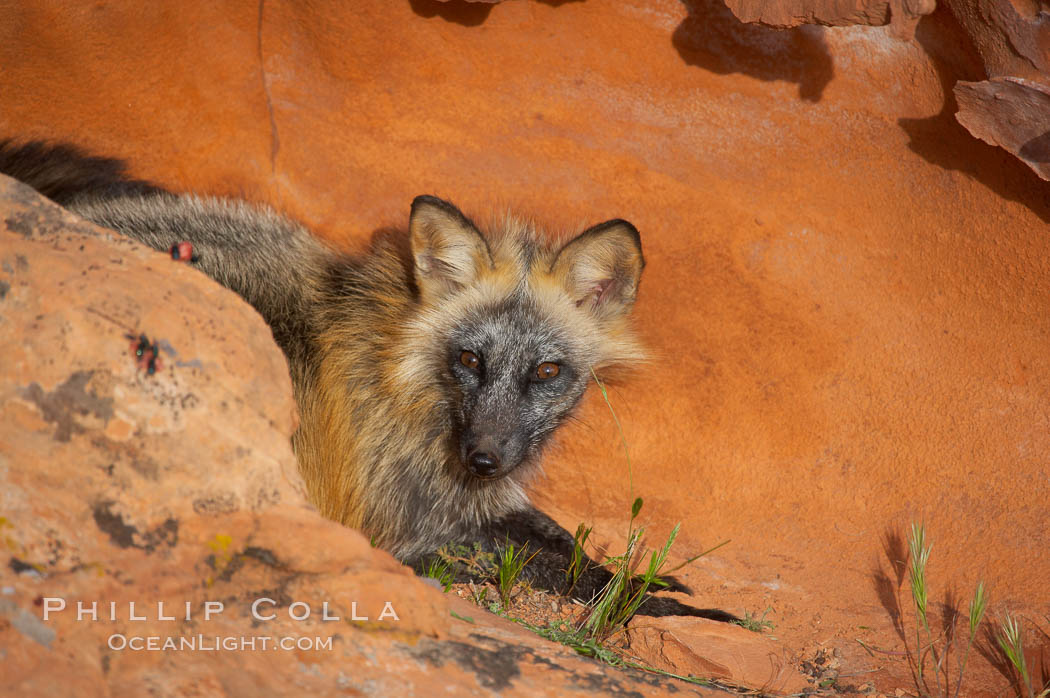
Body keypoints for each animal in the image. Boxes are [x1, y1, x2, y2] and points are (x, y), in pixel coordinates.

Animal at [0, 138, 734, 617]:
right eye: (470, 360)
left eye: (547, 370)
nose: (485, 458)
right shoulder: (399, 522)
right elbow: (559, 569)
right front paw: (661, 605)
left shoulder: (474, 501)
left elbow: (567, 543)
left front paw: (653, 580)